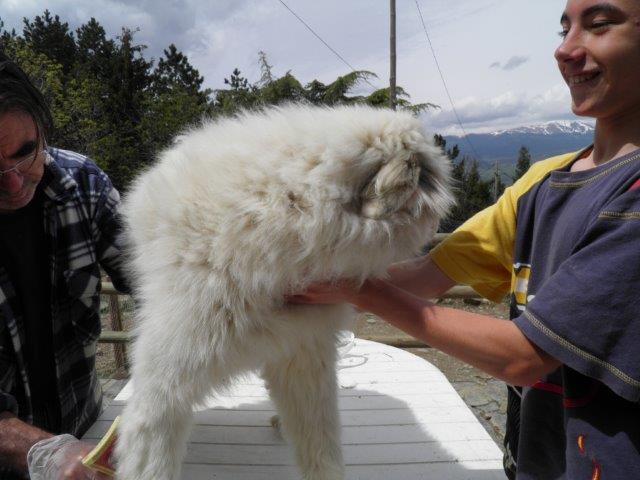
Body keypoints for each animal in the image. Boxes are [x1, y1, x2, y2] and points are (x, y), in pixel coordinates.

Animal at [116, 103, 456, 478]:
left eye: (423, 167)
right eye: (382, 159)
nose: (413, 164)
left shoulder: (303, 349)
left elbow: (319, 437)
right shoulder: (171, 371)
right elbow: (152, 446)